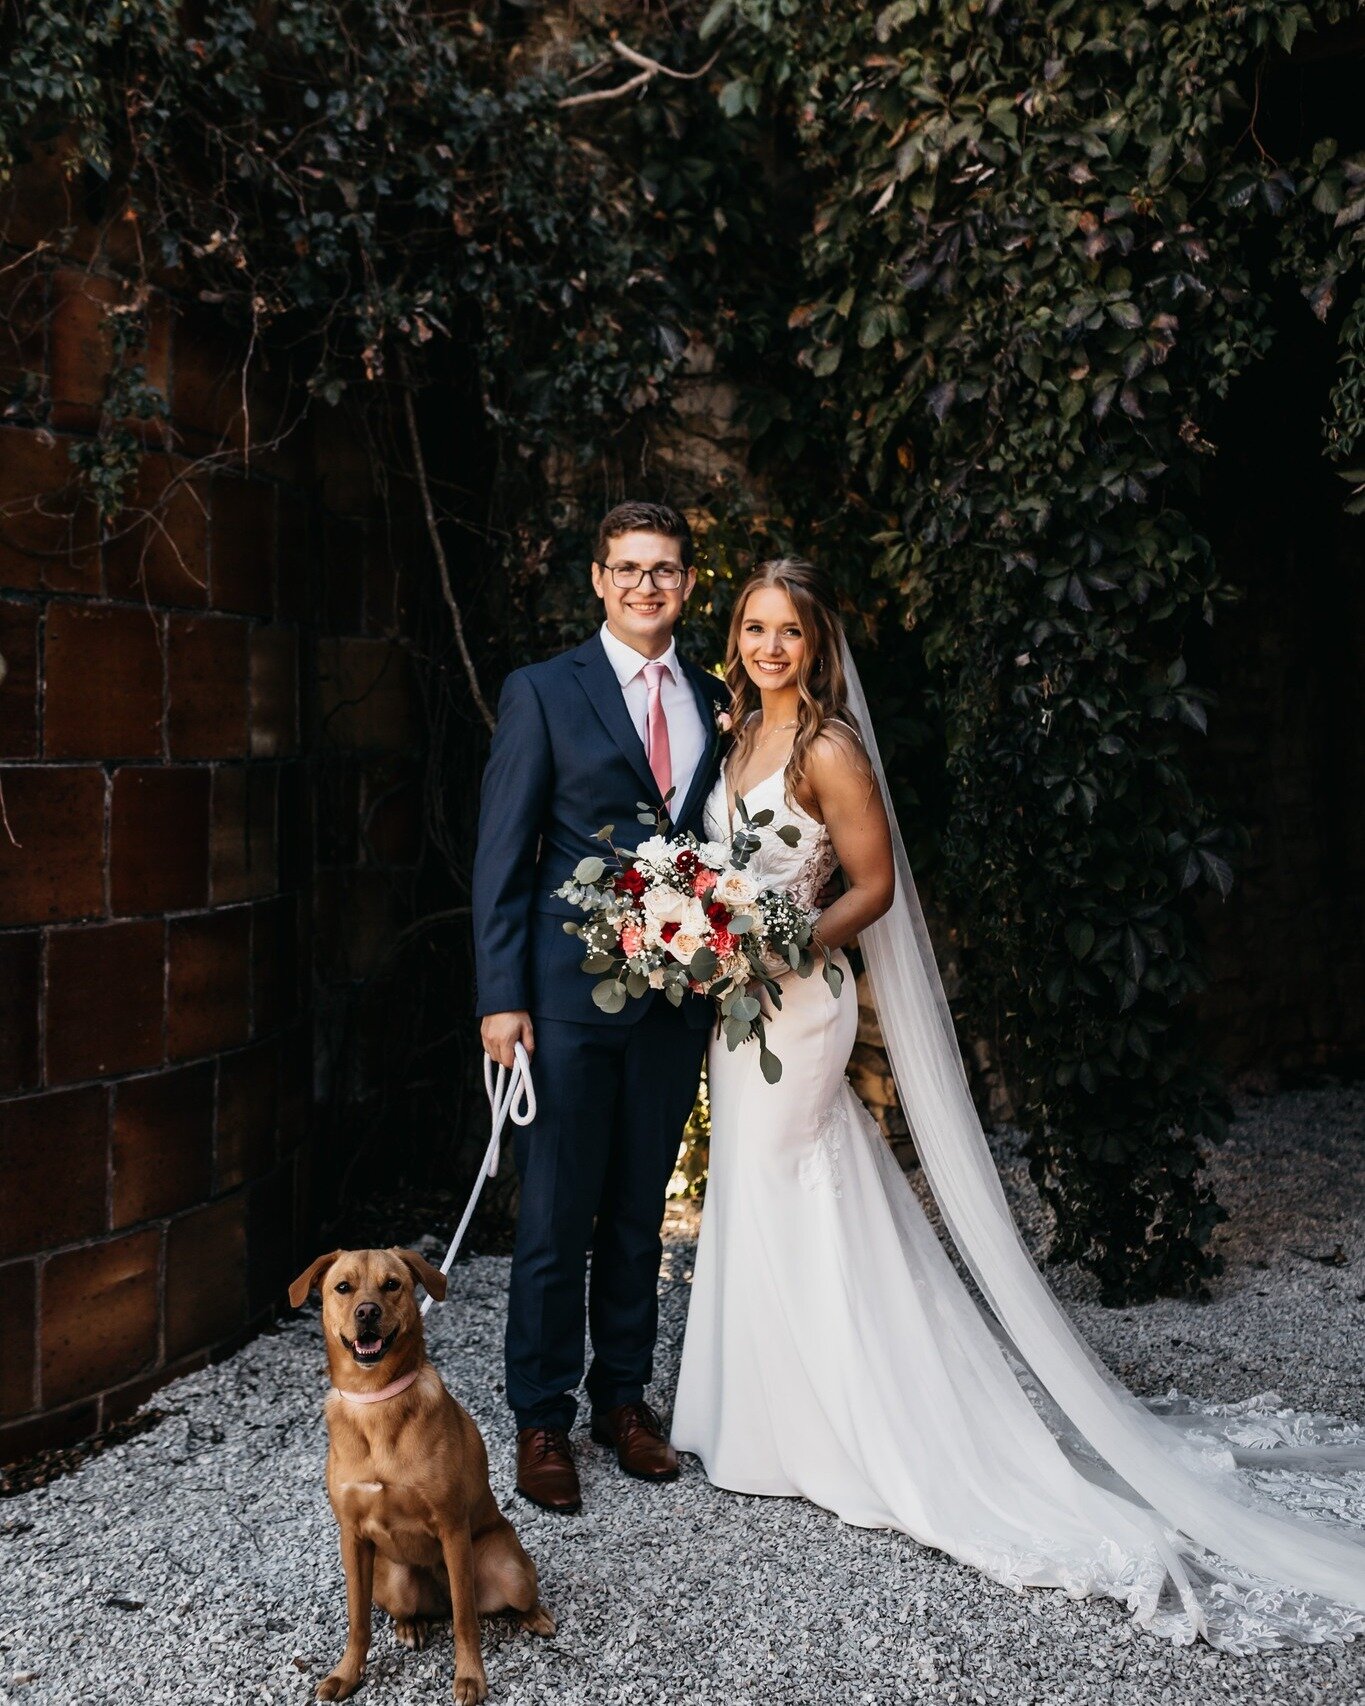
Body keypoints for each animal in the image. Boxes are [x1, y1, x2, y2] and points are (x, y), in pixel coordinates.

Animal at [290, 1248, 556, 1699]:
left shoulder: (452, 1528)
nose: (367, 1311)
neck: (375, 1402)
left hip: (511, 1570)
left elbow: (466, 1620)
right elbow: (358, 1620)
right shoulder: (352, 1536)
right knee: (408, 1608)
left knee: (499, 1599)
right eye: (343, 1287)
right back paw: (410, 1625)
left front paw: (470, 1676)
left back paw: (535, 1616)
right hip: (393, 1580)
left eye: (391, 1284)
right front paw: (347, 1674)